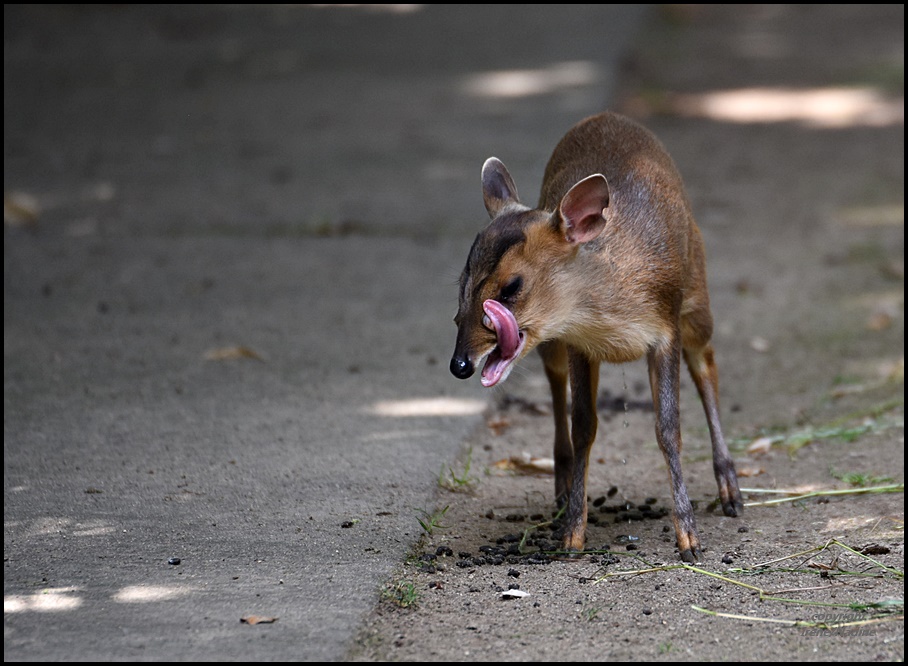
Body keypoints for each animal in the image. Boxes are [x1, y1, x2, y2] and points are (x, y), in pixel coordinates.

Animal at [450, 111, 740, 556]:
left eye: (512, 287)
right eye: (462, 284)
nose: (460, 363)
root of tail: (606, 115)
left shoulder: (666, 328)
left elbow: (668, 428)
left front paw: (689, 537)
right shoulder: (577, 342)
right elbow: (584, 425)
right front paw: (572, 532)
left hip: (696, 294)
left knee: (706, 364)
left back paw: (731, 490)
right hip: (552, 345)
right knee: (557, 388)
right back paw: (561, 489)